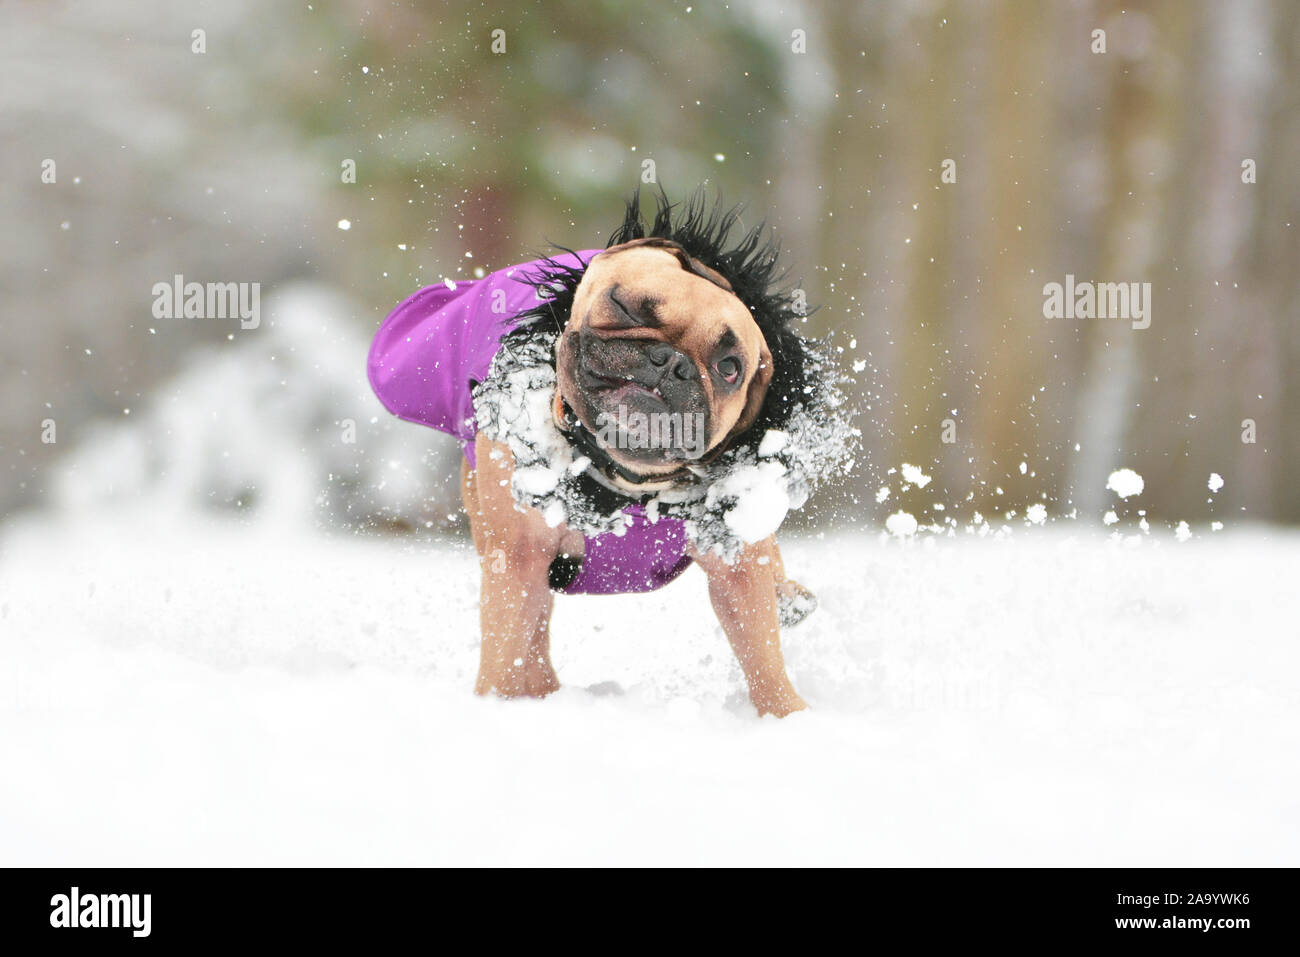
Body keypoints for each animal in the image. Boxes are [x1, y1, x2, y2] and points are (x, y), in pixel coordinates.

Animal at [369, 188, 852, 717]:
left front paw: (786, 716)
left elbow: (761, 649)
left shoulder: (736, 565)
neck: (623, 479)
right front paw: (497, 702)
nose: (672, 363)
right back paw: (540, 690)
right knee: (533, 626)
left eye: (729, 367)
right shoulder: (516, 555)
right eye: (625, 306)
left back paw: (789, 595)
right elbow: (509, 639)